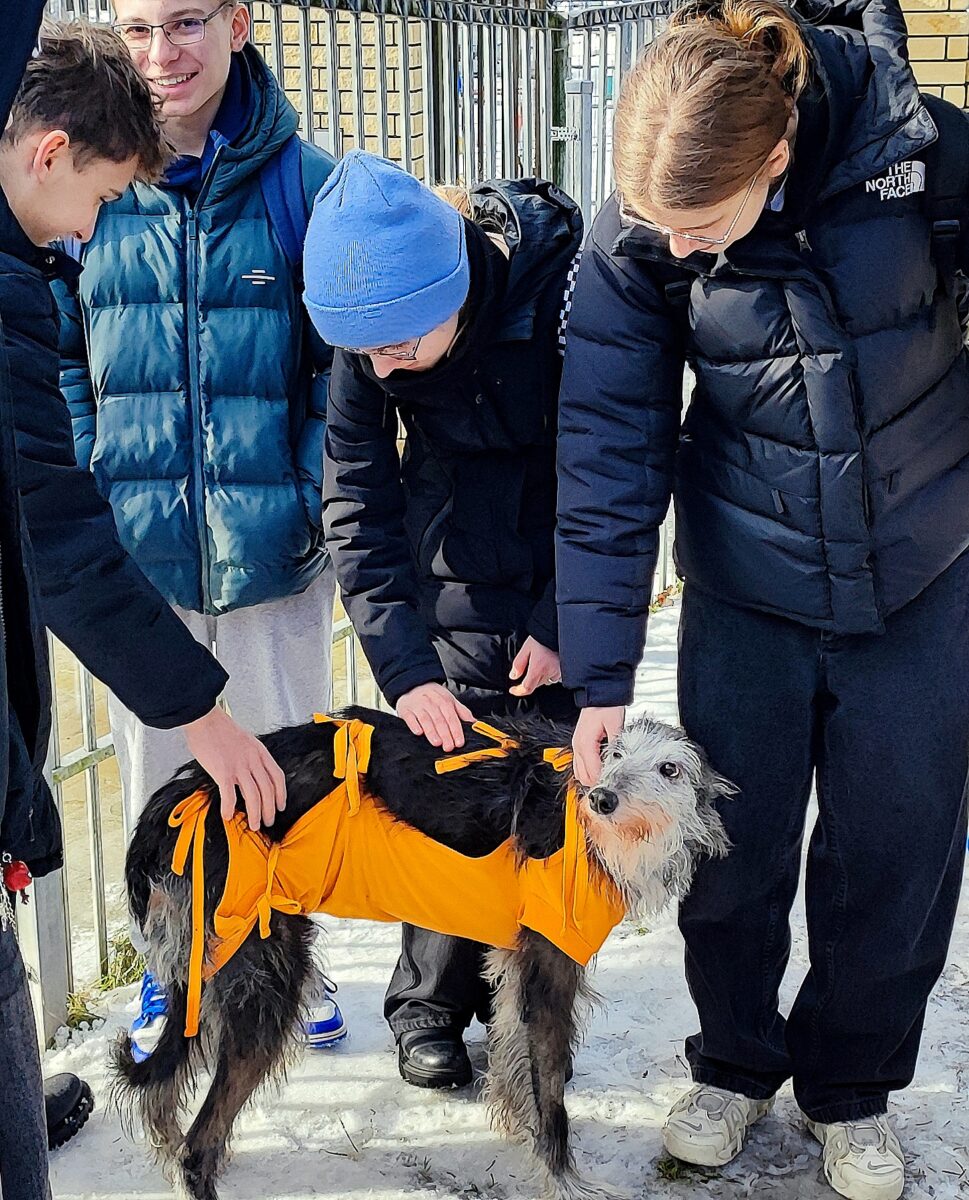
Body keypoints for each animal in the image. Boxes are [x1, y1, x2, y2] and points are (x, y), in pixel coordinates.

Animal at [116, 706, 733, 1200]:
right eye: (615, 754)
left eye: (670, 770)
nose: (603, 798)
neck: (589, 828)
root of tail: (189, 792)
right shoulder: (548, 970)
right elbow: (552, 1094)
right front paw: (562, 1179)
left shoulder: (516, 966)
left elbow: (517, 1059)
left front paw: (519, 1127)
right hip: (263, 973)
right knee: (199, 1141)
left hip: (209, 970)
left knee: (163, 1095)